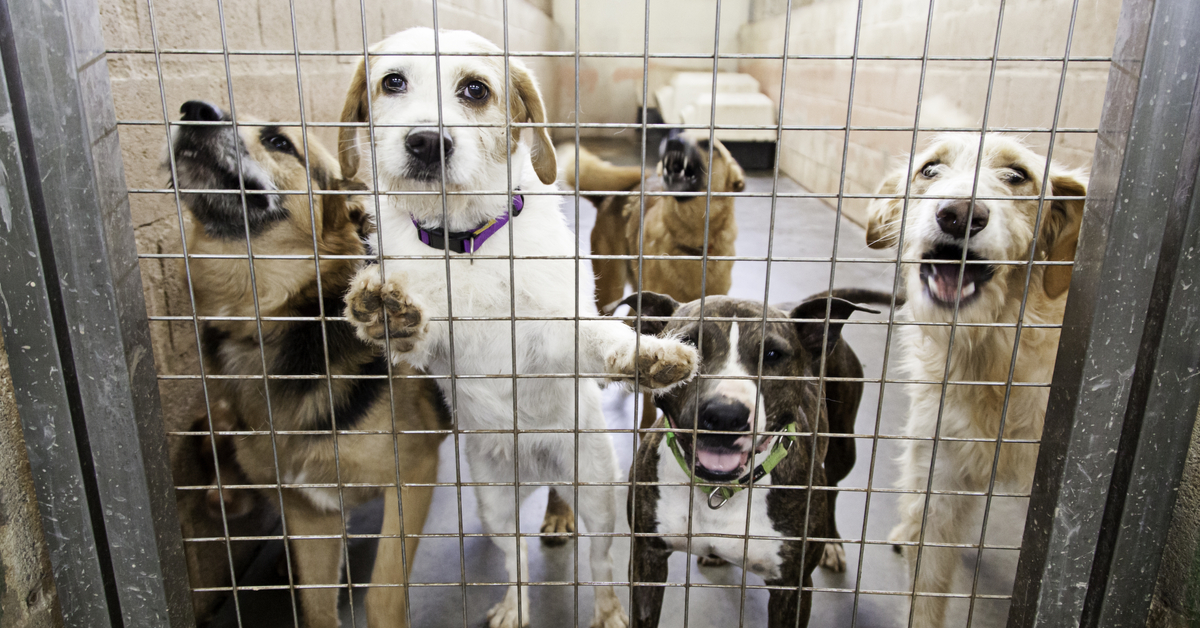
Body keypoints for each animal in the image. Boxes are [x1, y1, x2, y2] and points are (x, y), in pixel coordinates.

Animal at [171, 100, 448, 624]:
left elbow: (382, 595)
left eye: (280, 142)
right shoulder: (308, 508)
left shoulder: (413, 475)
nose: (195, 110)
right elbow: (316, 606)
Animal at [619, 291, 883, 628]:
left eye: (772, 354)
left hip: (843, 446)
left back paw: (833, 544)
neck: (721, 491)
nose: (725, 415)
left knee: (834, 484)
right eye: (688, 344)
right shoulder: (646, 561)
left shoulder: (792, 587)